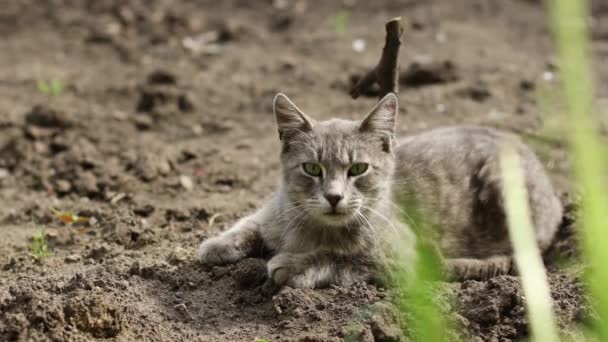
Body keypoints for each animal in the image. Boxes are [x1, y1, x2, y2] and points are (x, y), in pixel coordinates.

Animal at [197, 92, 564, 288]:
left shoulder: (403, 258)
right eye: (312, 168)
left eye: (358, 169)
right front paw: (216, 244)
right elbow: (250, 224)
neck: (313, 227)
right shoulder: (274, 211)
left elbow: (341, 257)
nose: (334, 197)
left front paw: (293, 265)